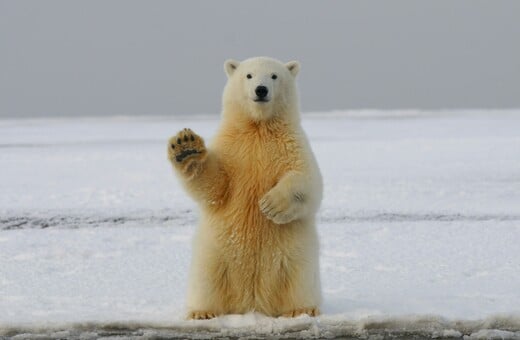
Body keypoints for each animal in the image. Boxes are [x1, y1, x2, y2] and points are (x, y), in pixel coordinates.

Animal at [168, 55, 320, 318]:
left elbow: (307, 180)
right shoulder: (232, 149)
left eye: (274, 75)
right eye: (249, 75)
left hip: (296, 253)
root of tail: (252, 303)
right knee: (206, 279)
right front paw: (186, 147)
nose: (261, 90)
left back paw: (301, 309)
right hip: (214, 253)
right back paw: (202, 312)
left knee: (300, 278)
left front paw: (270, 205)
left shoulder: (292, 145)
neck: (258, 127)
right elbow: (215, 185)